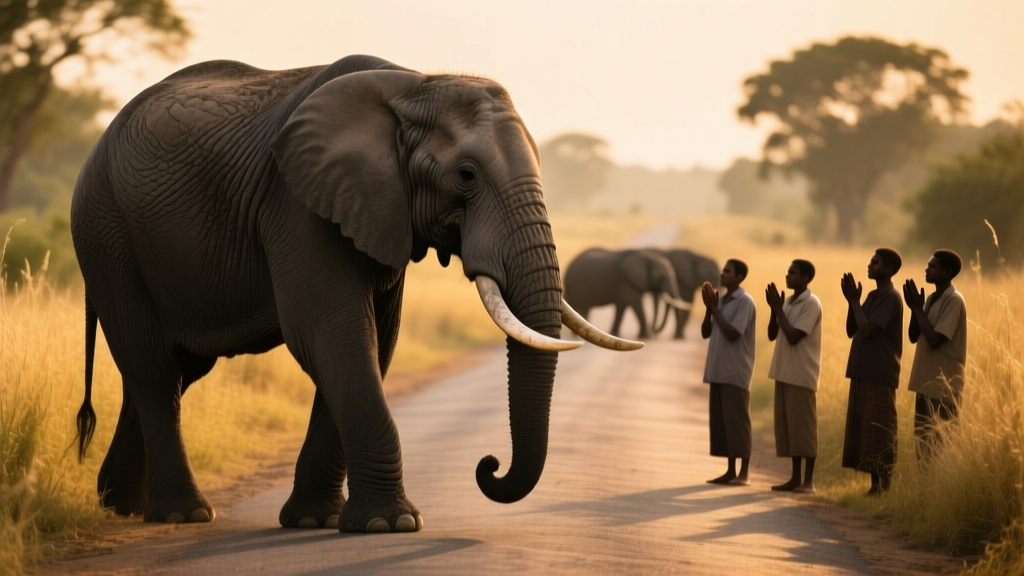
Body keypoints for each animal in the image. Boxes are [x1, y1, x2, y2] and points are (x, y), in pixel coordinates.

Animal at [69, 54, 641, 534]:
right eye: (466, 176)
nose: (488, 465)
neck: (414, 83)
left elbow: (373, 341)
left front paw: (315, 521)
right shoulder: (298, 204)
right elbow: (333, 334)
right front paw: (393, 525)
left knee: (170, 370)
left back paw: (121, 505)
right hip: (107, 234)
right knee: (153, 367)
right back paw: (181, 515)